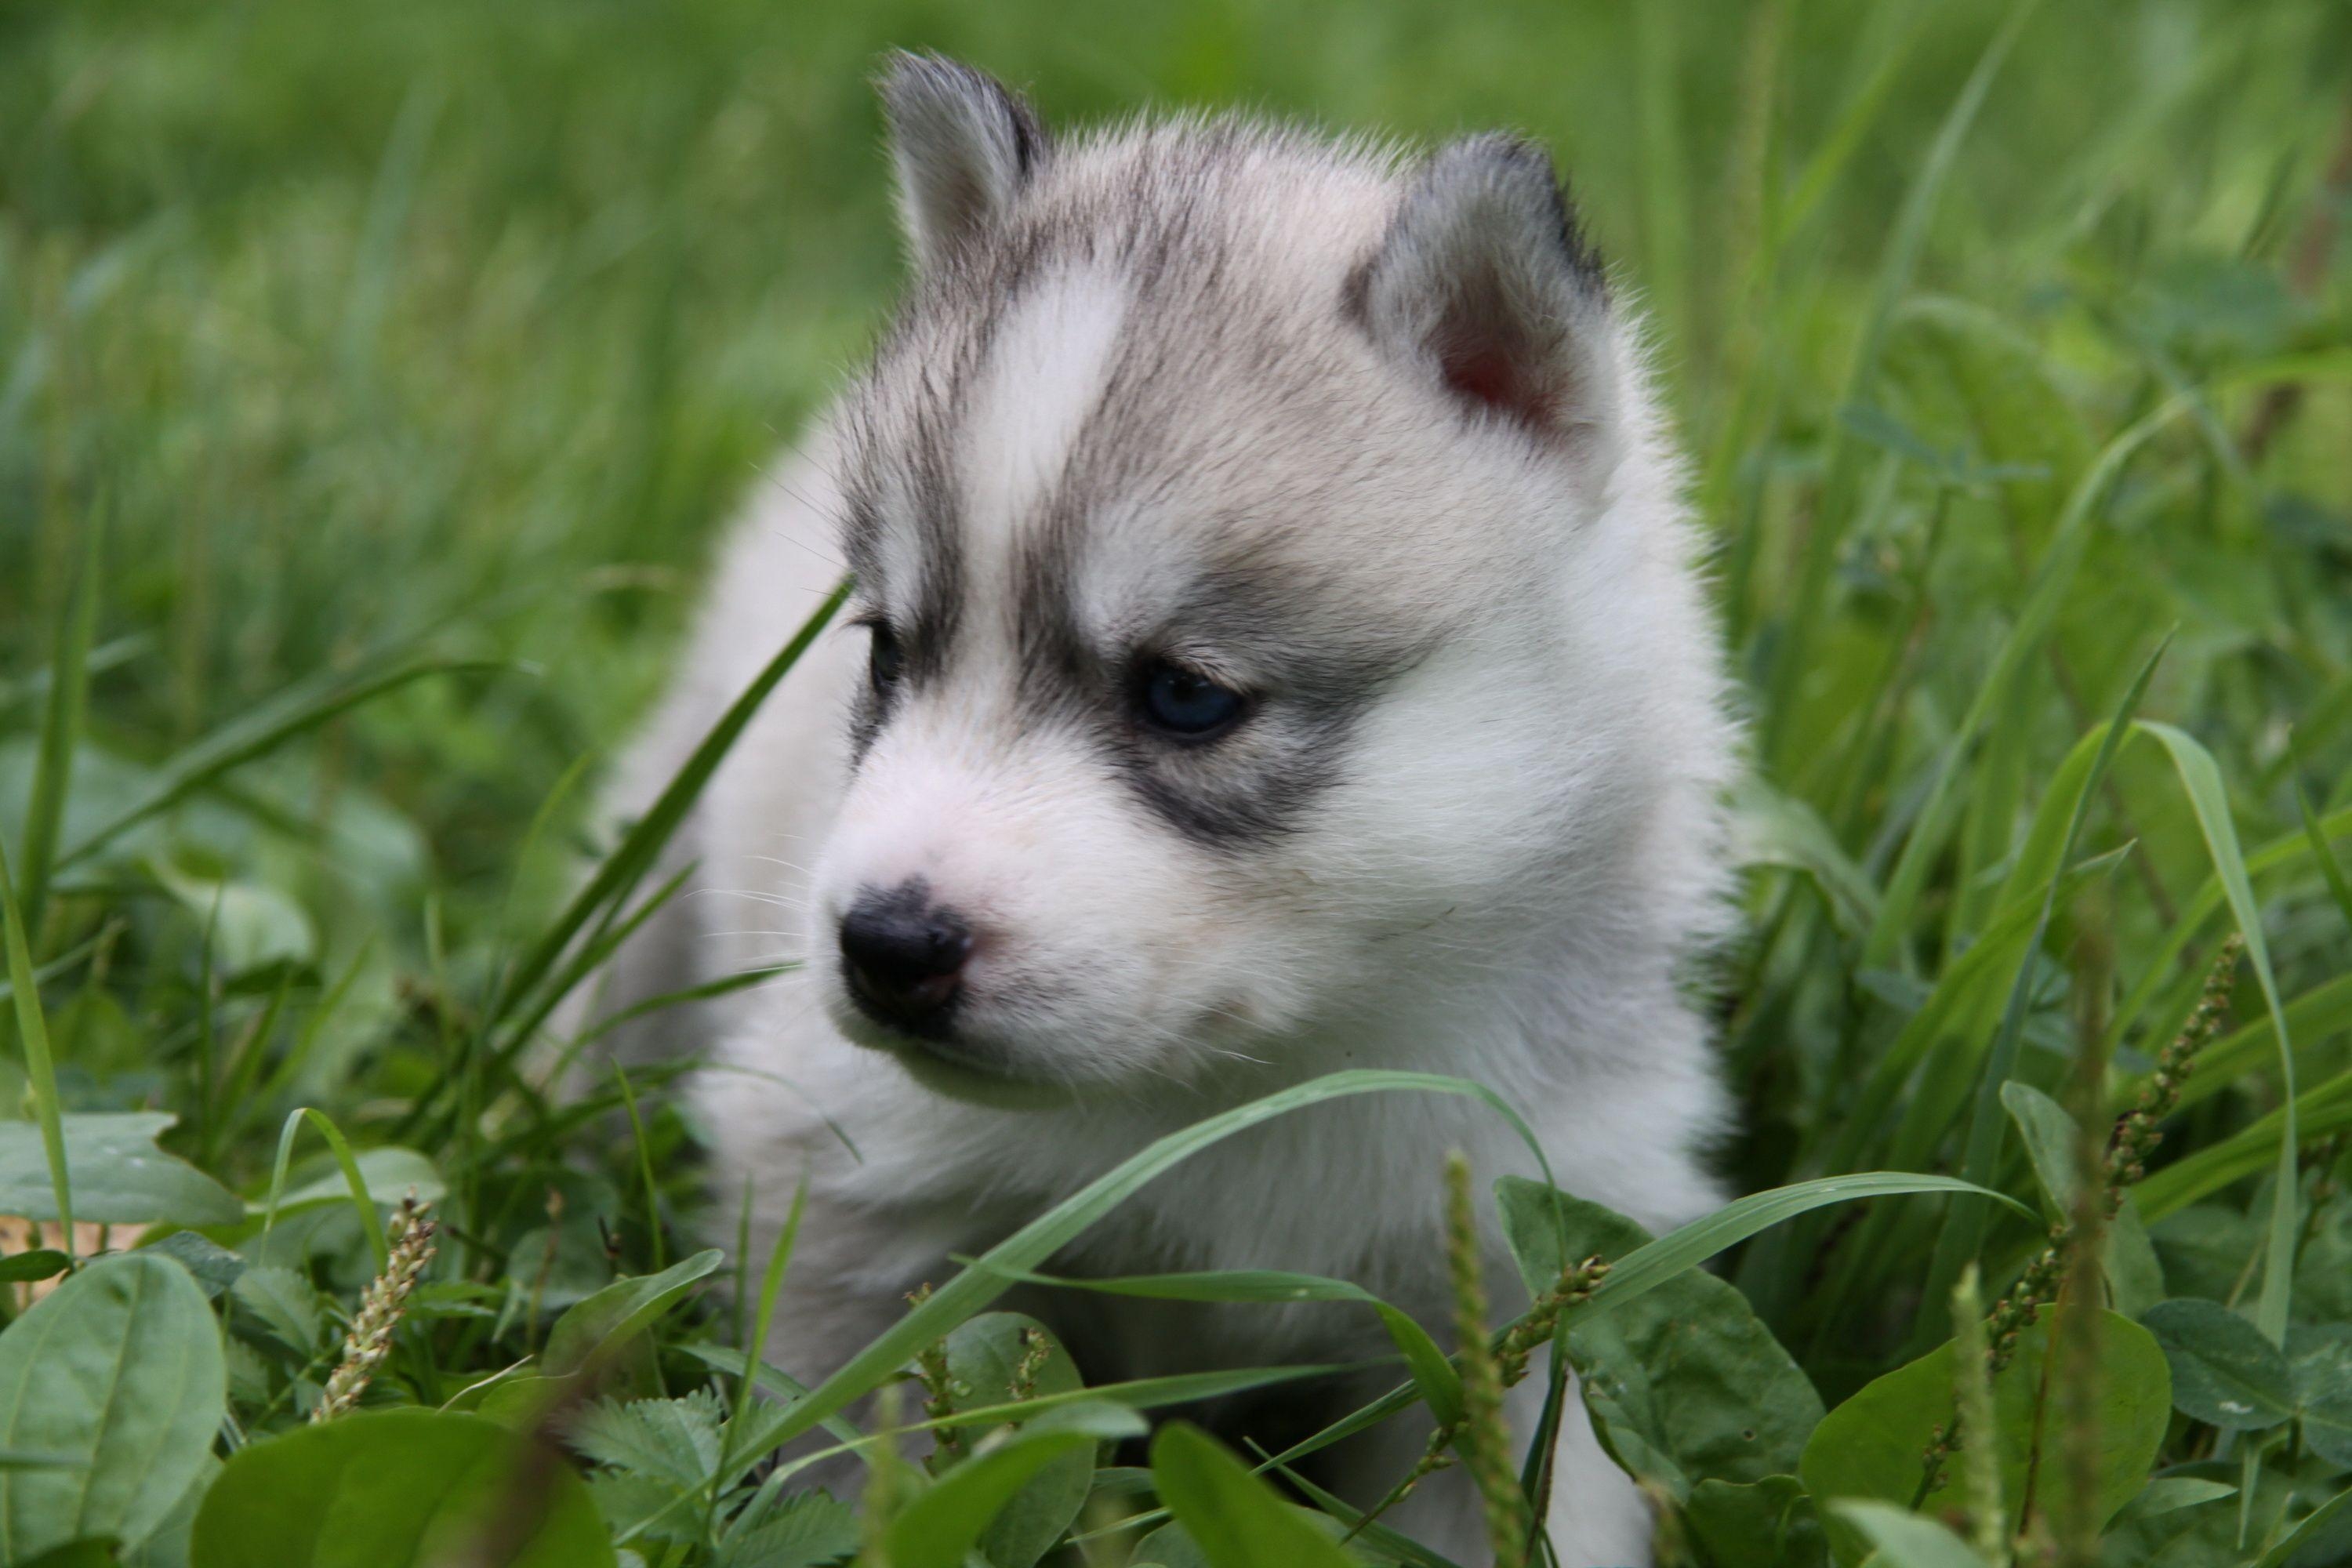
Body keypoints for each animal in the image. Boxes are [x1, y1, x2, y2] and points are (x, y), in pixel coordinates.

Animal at [597, 55, 1740, 1561]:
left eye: (1187, 696)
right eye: (889, 651)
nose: (886, 946)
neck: (1260, 1079)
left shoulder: (1532, 1279)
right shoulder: (845, 1193)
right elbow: (842, 1466)